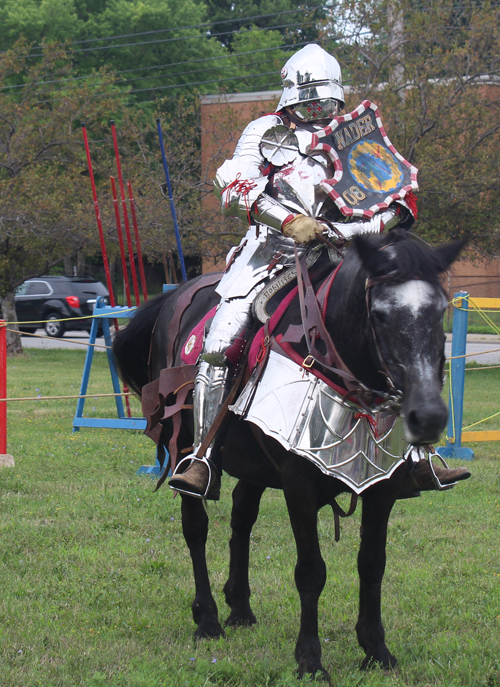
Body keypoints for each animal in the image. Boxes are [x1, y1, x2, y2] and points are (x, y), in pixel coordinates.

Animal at [113, 232, 464, 684]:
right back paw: (207, 619)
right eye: (381, 315)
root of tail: (175, 297)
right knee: (196, 525)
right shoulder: (299, 484)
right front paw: (310, 660)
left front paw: (376, 651)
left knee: (241, 518)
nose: (429, 417)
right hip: (187, 445)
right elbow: (311, 572)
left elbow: (372, 564)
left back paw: (240, 607)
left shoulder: (382, 486)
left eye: (441, 311)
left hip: (253, 465)